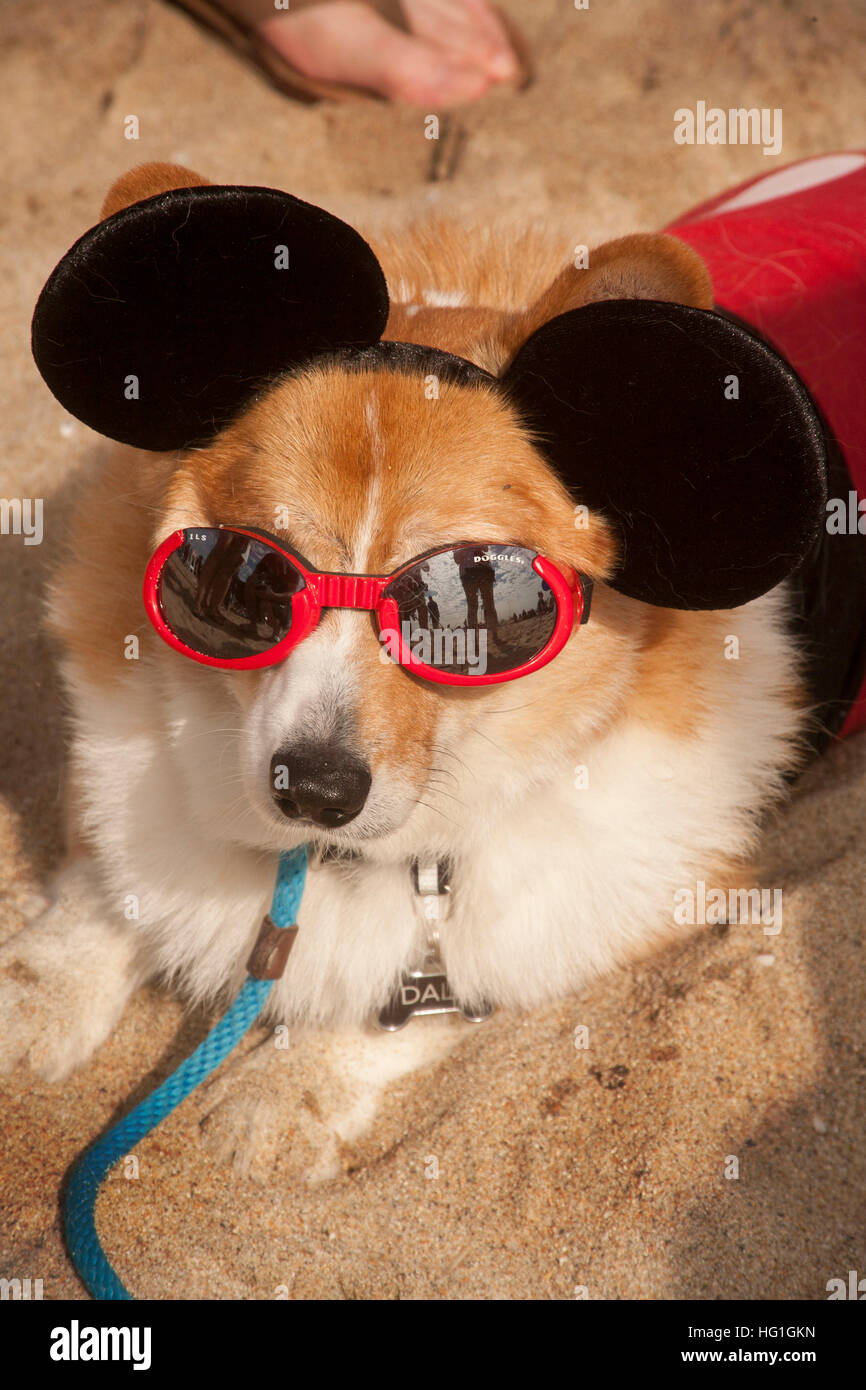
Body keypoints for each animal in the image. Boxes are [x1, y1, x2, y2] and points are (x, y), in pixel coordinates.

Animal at [1, 154, 856, 1184]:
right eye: (241, 574)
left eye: (468, 599)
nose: (313, 788)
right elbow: (106, 879)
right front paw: (34, 994)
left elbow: (409, 998)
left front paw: (278, 1093)